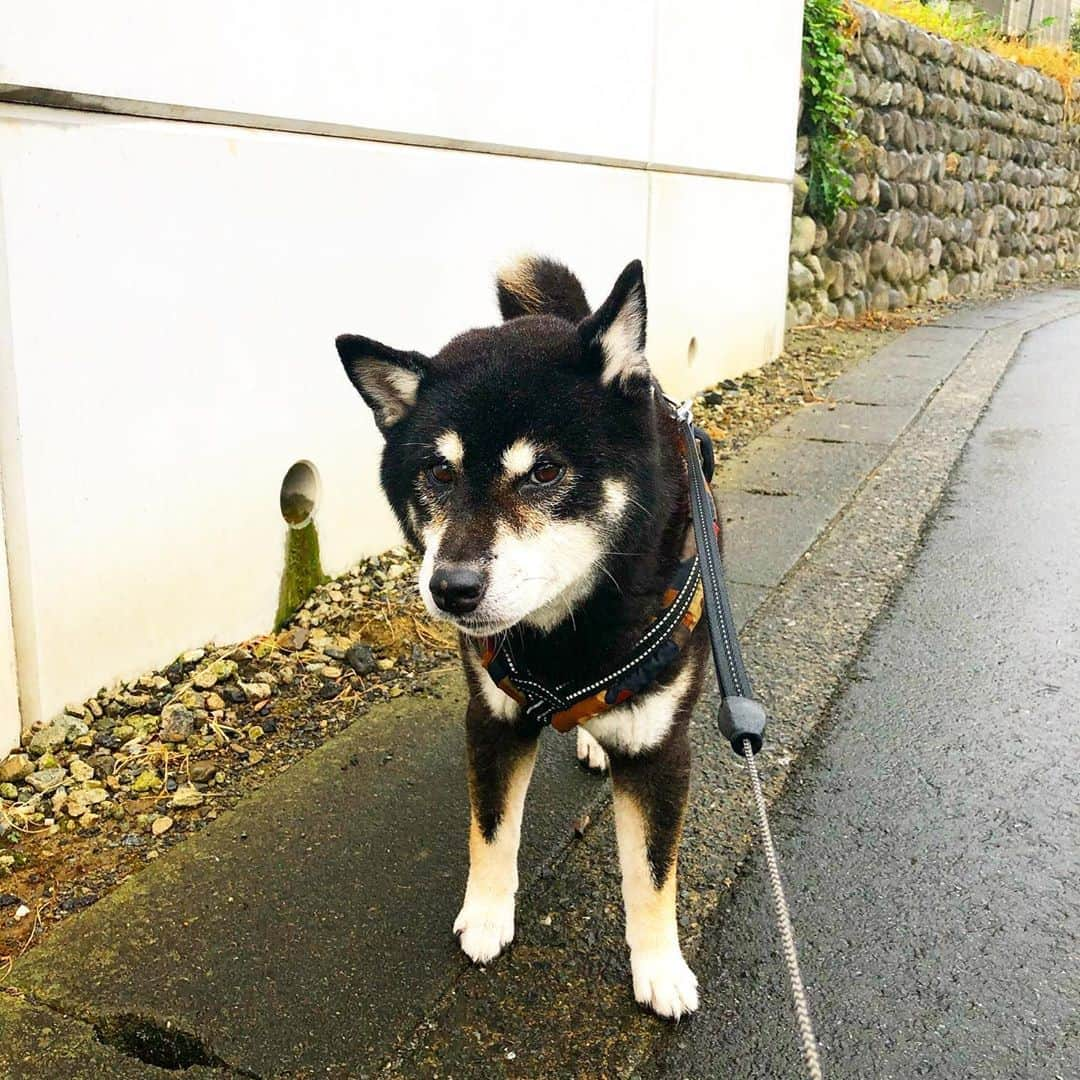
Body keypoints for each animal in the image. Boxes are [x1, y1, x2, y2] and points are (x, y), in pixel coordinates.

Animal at [334, 257, 708, 1015]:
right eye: (438, 472)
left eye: (544, 472)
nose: (451, 587)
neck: (562, 636)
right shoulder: (494, 720)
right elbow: (492, 831)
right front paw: (485, 916)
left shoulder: (661, 751)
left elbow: (652, 873)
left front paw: (660, 967)